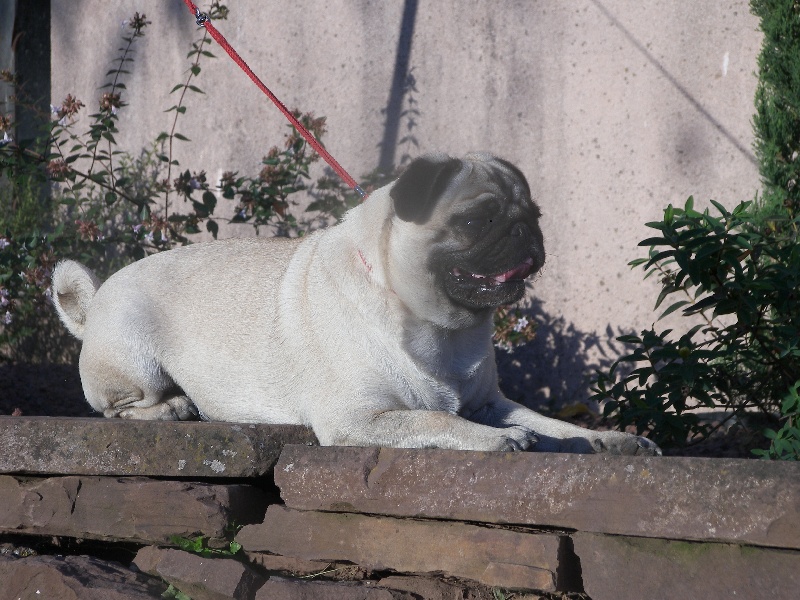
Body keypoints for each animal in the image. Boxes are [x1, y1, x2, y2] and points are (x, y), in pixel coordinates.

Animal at [51, 151, 664, 454]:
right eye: (479, 220)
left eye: (534, 216)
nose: (525, 231)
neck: (437, 325)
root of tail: (96, 301)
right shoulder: (359, 417)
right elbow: (432, 419)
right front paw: (498, 441)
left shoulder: (492, 401)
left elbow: (555, 425)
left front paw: (612, 440)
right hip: (133, 357)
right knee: (118, 407)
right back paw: (174, 407)